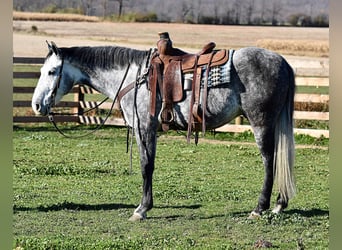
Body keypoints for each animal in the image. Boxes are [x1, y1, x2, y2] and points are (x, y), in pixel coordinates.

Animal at [30, 41, 296, 221]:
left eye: (51, 72)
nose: (36, 105)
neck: (134, 76)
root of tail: (283, 62)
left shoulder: (144, 128)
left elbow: (145, 166)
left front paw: (141, 209)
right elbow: (150, 165)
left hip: (261, 122)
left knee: (269, 161)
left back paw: (259, 208)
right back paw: (279, 205)